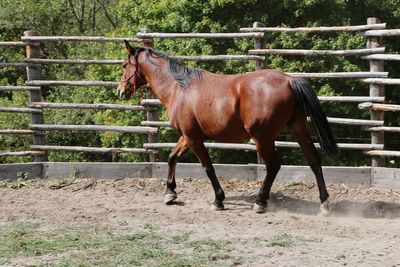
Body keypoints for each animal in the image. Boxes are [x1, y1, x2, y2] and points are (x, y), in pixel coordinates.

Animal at [116, 42, 338, 216]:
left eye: (125, 65)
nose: (120, 91)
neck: (179, 88)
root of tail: (289, 80)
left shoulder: (193, 138)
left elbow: (208, 167)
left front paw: (218, 200)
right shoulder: (188, 136)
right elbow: (172, 157)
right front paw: (170, 193)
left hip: (262, 137)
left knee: (274, 166)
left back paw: (260, 202)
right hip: (298, 128)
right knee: (314, 160)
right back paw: (324, 204)